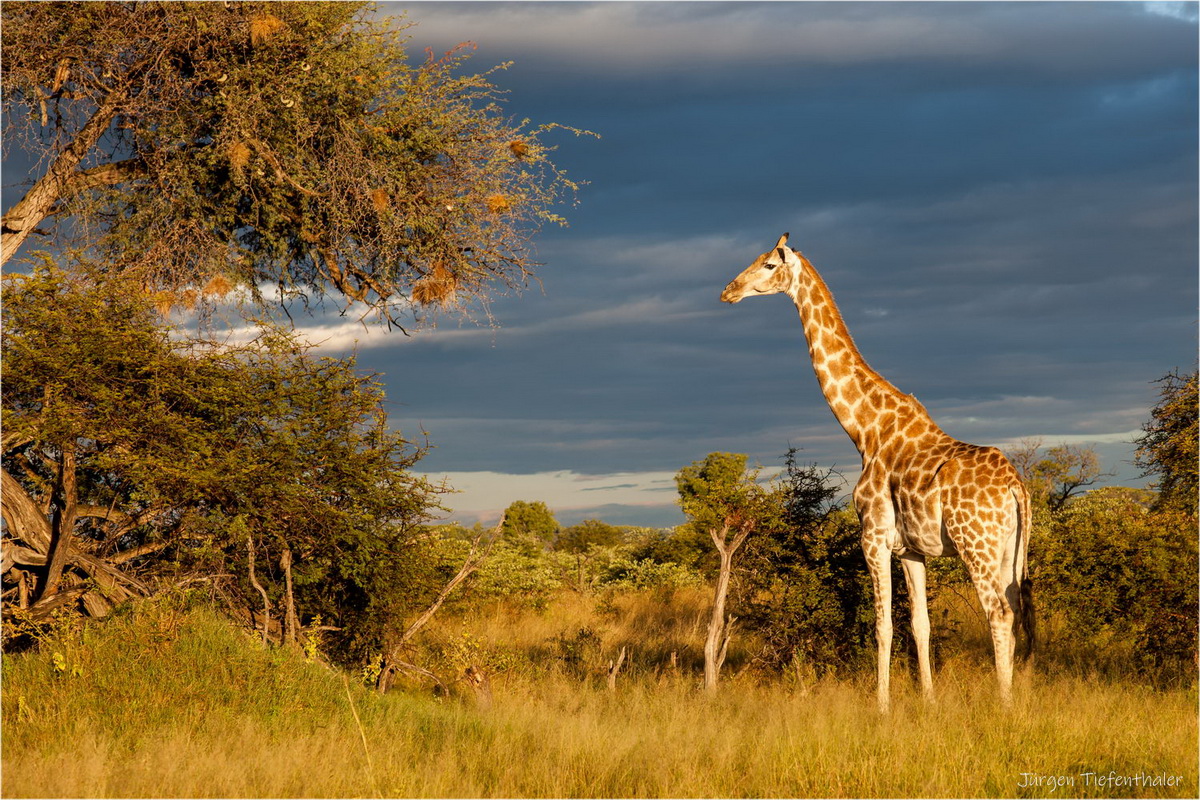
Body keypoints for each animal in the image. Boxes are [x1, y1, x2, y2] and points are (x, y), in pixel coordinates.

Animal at [715, 232, 1036, 714]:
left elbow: (883, 625)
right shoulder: (912, 550)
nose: (729, 290)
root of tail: (1016, 488)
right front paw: (928, 702)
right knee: (1016, 609)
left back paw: (1005, 705)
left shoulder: (874, 536)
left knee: (997, 613)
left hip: (975, 545)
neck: (863, 428)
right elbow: (920, 624)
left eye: (769, 264)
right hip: (1010, 550)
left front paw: (882, 706)